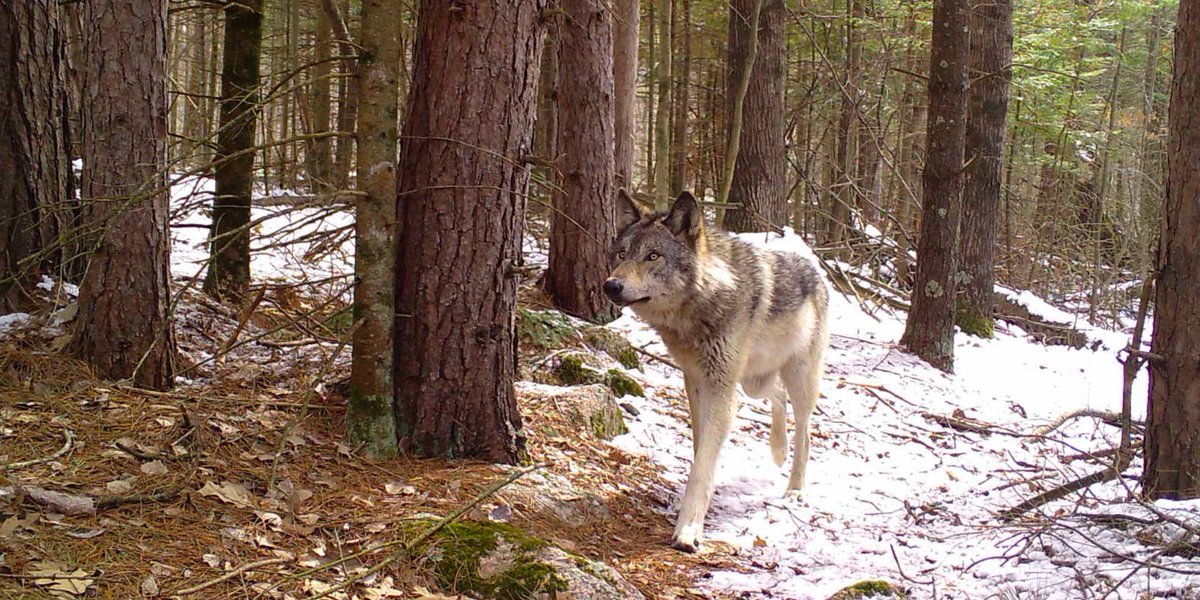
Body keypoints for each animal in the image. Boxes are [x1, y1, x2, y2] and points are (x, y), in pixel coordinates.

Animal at [604, 189, 830, 553]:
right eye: (622, 253)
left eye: (653, 256)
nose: (611, 286)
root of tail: (813, 266)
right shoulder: (697, 382)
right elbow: (701, 450)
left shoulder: (721, 387)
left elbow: (702, 466)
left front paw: (688, 530)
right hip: (753, 382)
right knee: (776, 396)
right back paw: (778, 451)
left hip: (797, 380)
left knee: (805, 431)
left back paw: (795, 488)